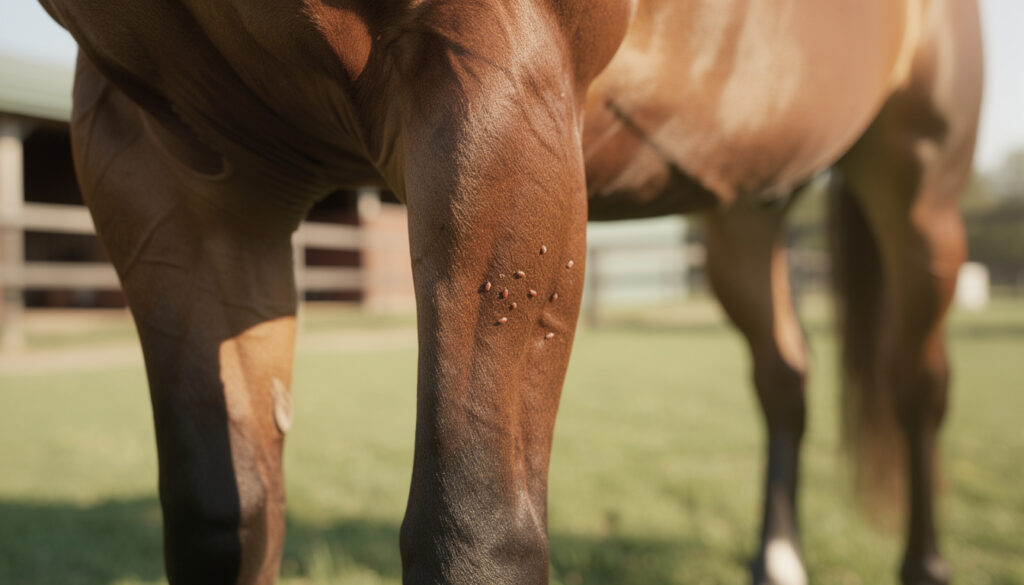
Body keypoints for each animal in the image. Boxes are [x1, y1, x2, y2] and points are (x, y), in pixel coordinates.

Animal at [37, 1, 983, 583]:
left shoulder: (500, 83)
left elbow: (476, 530)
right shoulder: (169, 174)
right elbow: (225, 518)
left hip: (918, 184)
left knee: (919, 385)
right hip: (743, 205)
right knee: (785, 374)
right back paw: (776, 559)